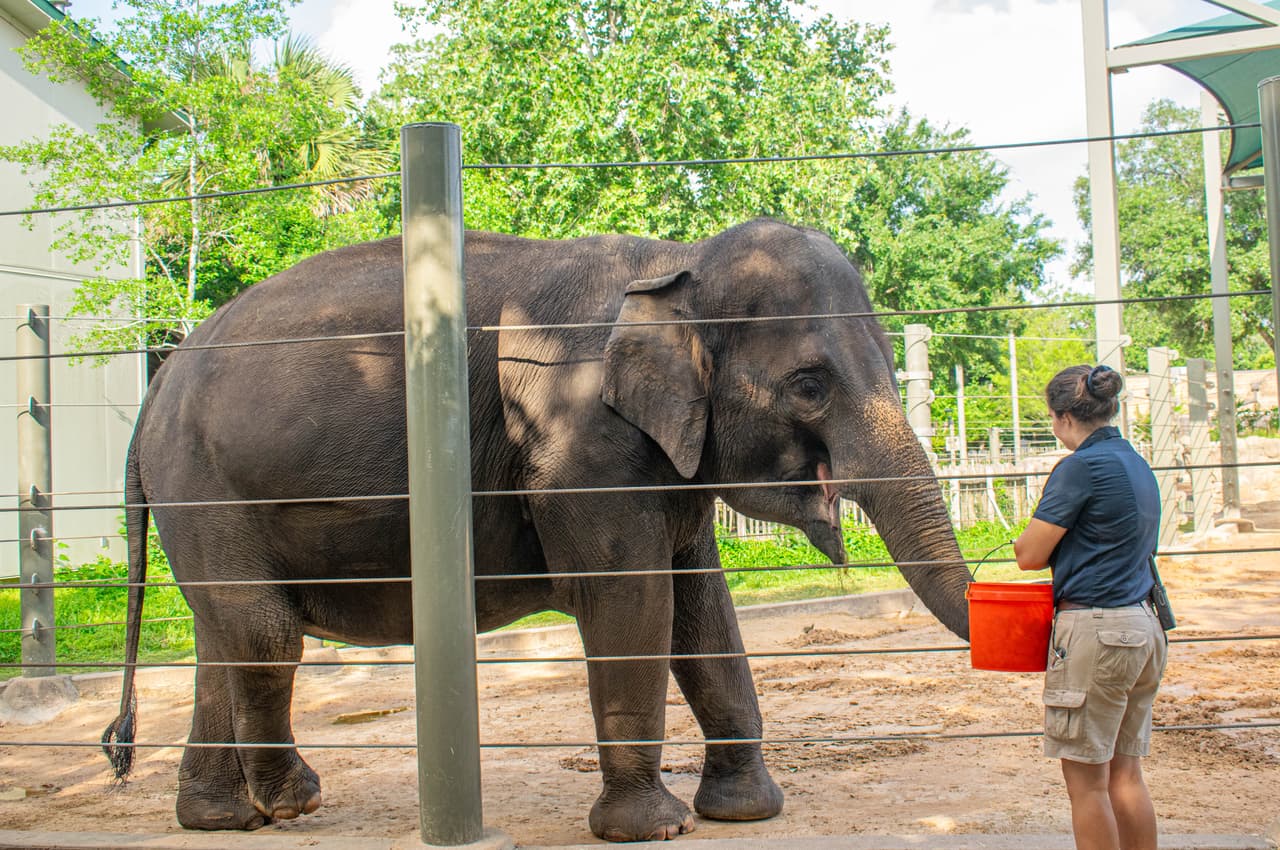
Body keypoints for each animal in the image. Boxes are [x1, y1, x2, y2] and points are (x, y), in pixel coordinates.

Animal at [102, 218, 972, 842]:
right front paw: (651, 830)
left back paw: (222, 818)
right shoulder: (576, 442)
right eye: (809, 386)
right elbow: (633, 600)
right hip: (205, 485)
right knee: (263, 632)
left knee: (222, 636)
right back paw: (294, 804)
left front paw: (746, 811)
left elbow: (702, 608)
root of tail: (154, 390)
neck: (673, 262)